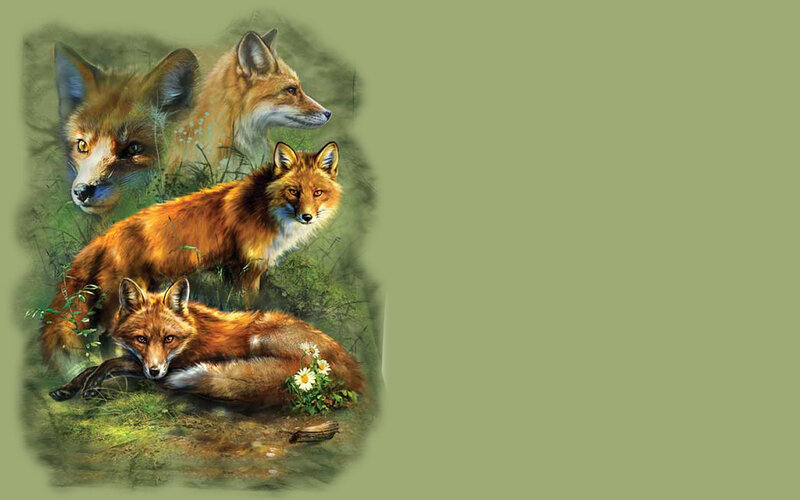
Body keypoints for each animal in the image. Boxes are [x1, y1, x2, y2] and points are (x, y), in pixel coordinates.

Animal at [40, 141, 341, 370]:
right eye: (293, 191)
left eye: (317, 193)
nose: (307, 217)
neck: (263, 207)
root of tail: (106, 236)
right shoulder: (246, 270)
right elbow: (249, 306)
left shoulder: (237, 270)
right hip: (121, 297)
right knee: (106, 335)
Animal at [48, 278, 364, 406]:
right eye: (141, 339)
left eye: (169, 339)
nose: (155, 372)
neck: (191, 335)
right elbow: (93, 367)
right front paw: (68, 388)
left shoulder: (175, 364)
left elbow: (108, 364)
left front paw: (92, 386)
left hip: (260, 336)